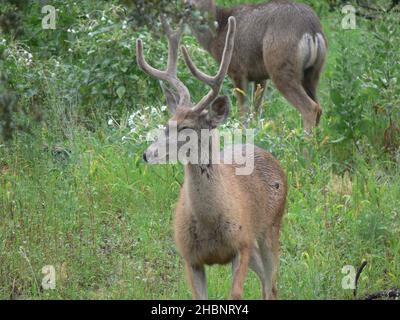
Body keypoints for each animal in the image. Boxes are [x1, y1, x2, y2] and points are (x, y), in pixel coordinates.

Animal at [138, 15, 288, 300]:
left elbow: (236, 294)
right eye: (167, 124)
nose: (147, 154)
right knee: (266, 280)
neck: (209, 224)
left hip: (271, 227)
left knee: (271, 284)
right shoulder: (190, 257)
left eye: (186, 127)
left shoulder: (241, 244)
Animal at [184, 0, 328, 132]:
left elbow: (243, 111)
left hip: (281, 68)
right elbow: (256, 111)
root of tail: (312, 30)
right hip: (313, 73)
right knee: (319, 107)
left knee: (310, 108)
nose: (187, 5)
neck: (218, 31)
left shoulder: (237, 70)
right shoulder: (260, 76)